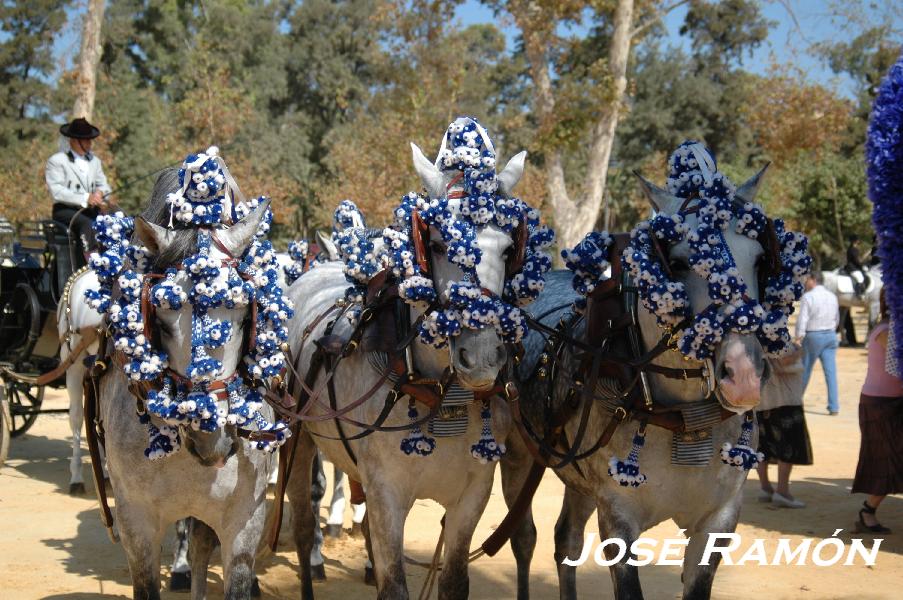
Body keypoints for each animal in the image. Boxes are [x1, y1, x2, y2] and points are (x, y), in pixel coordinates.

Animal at [284, 137, 528, 600]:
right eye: (437, 244)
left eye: (509, 249)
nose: (482, 357)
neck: (440, 395)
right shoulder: (387, 494)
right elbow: (392, 582)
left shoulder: (473, 495)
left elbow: (453, 581)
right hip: (298, 437)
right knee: (303, 527)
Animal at [502, 166, 776, 596]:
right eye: (676, 262)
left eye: (761, 258)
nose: (743, 375)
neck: (683, 418)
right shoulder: (618, 514)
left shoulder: (719, 518)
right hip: (517, 456)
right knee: (523, 537)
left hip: (580, 478)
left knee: (566, 539)